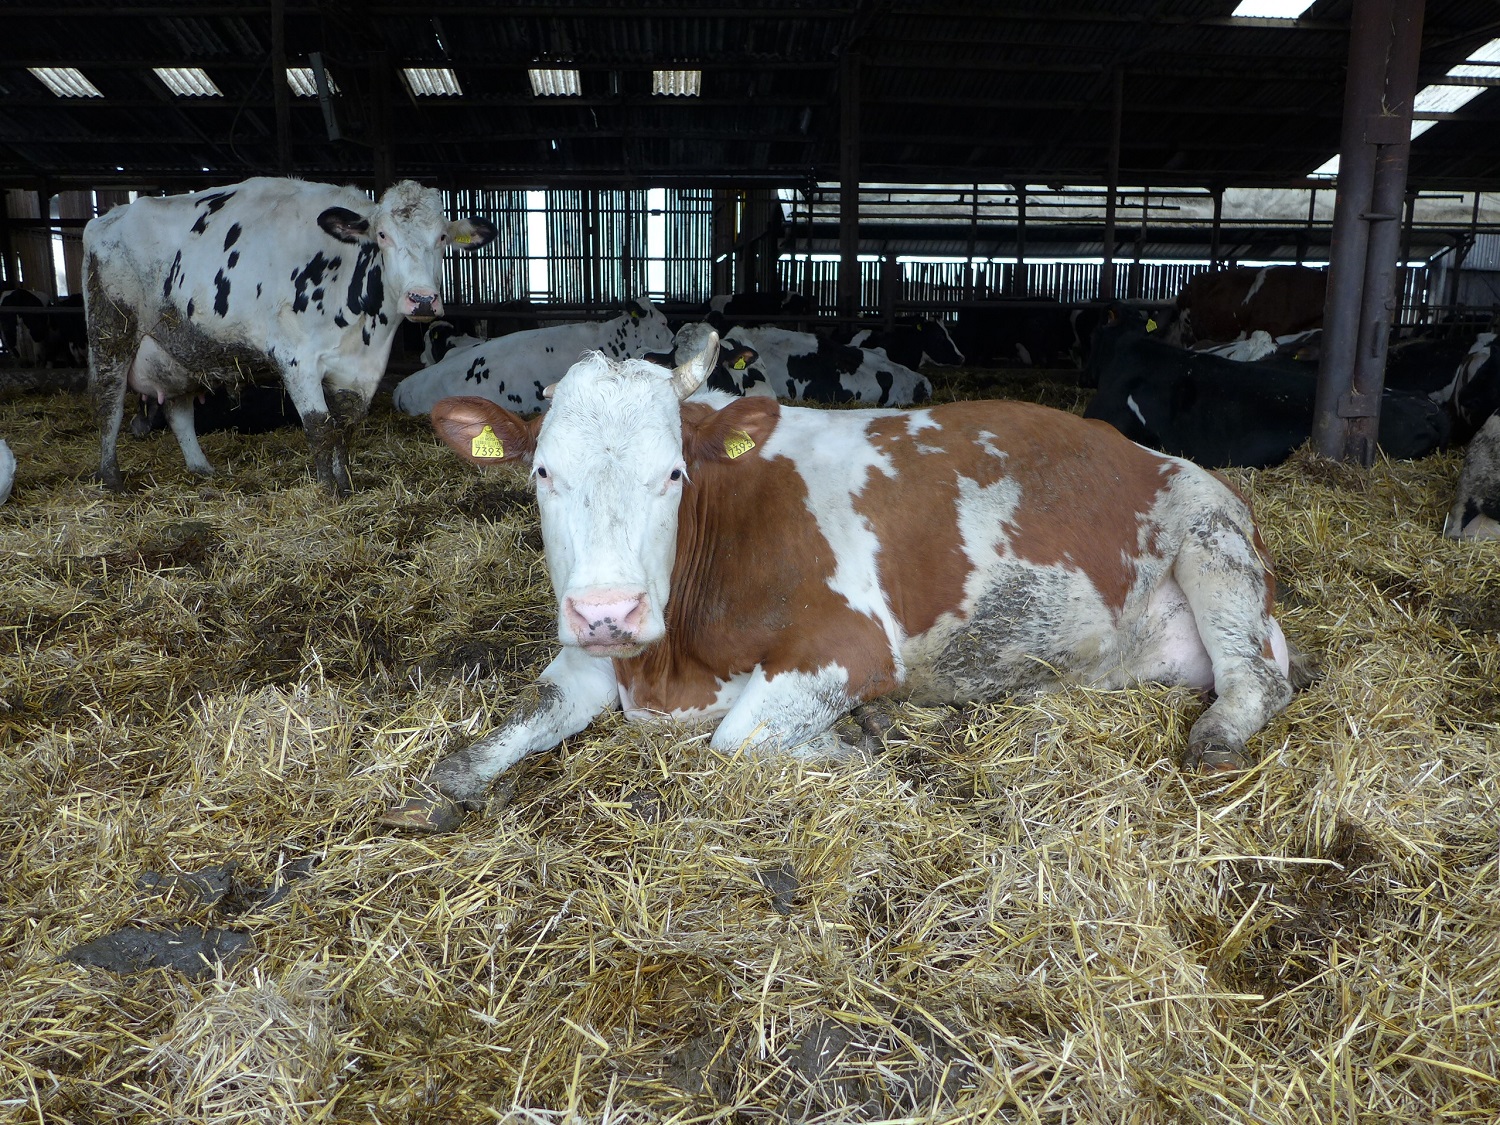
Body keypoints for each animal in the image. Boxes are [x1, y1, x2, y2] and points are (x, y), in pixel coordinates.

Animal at [85, 176, 495, 492]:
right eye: (382, 235)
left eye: (442, 237)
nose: (422, 299)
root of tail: (106, 219)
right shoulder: (295, 358)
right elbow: (319, 426)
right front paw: (328, 492)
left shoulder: (360, 369)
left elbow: (345, 426)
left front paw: (346, 483)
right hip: (111, 332)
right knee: (109, 403)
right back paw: (111, 478)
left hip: (177, 348)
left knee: (178, 411)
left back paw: (202, 469)